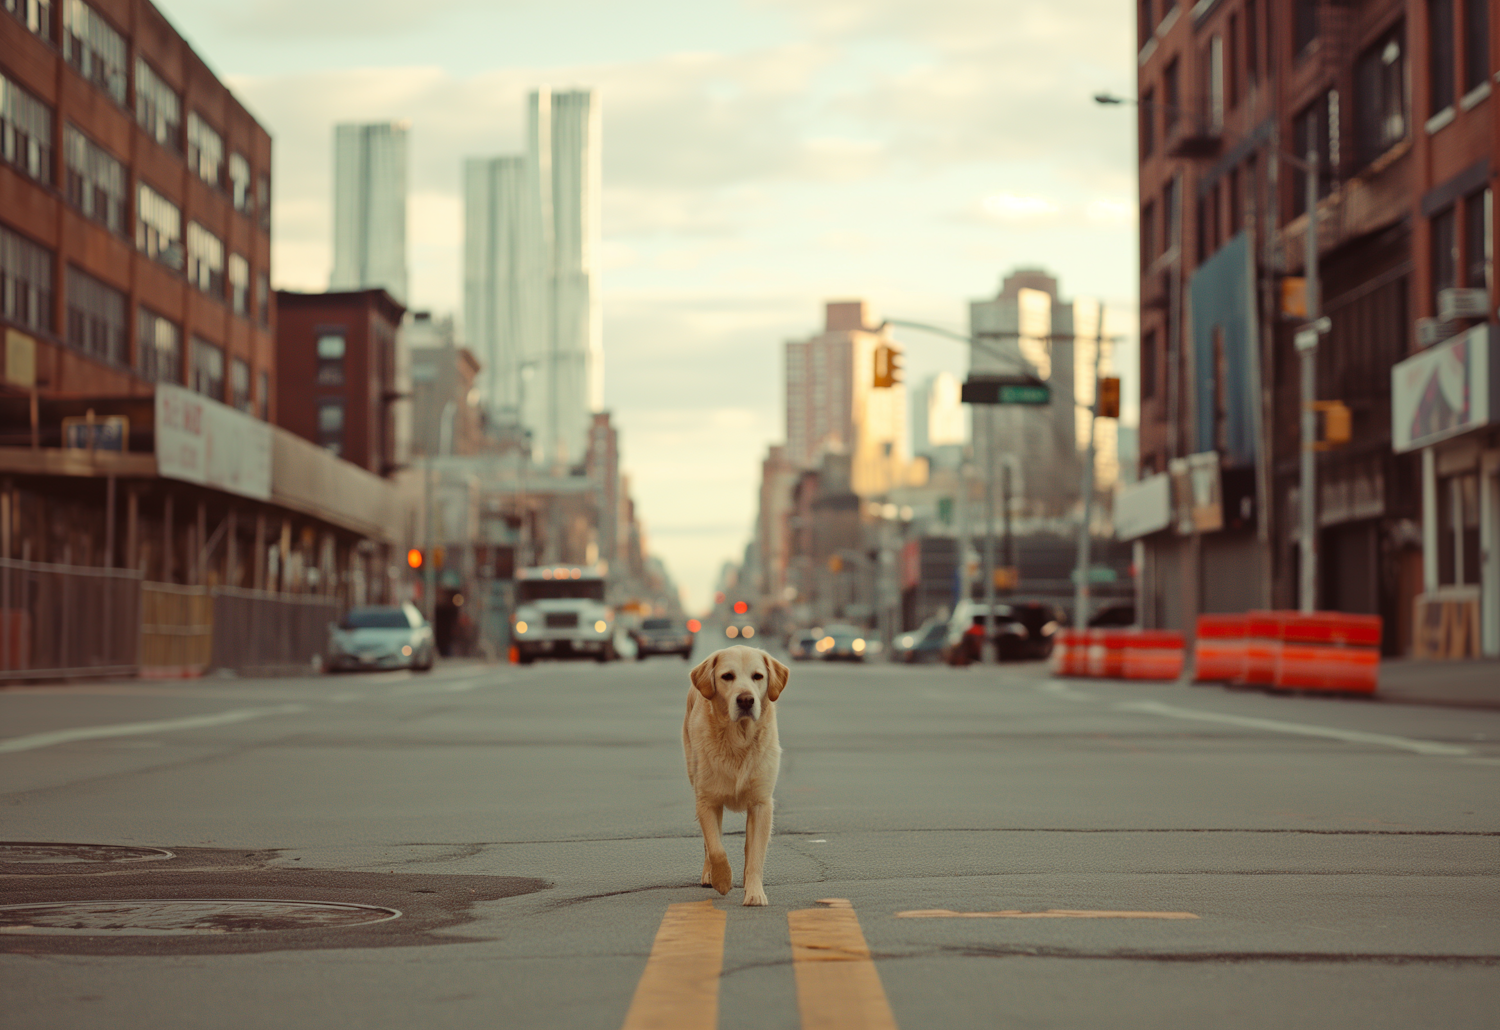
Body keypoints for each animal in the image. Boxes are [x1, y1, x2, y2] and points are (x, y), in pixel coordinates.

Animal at [687, 647, 792, 905]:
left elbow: (755, 853)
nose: (746, 699)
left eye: (758, 676)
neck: (739, 739)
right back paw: (709, 875)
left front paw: (754, 892)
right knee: (709, 842)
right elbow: (715, 847)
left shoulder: (761, 804)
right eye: (727, 676)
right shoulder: (707, 800)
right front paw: (723, 879)